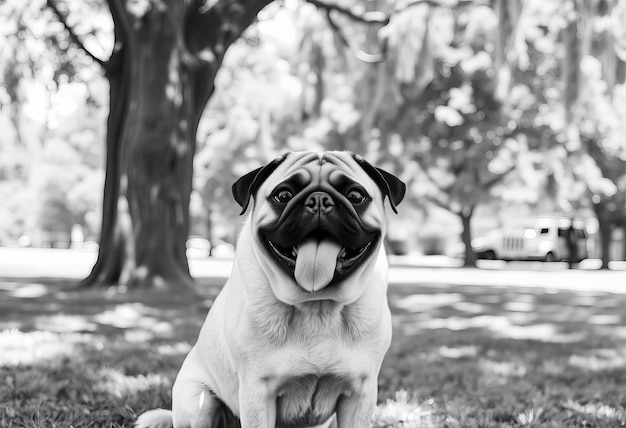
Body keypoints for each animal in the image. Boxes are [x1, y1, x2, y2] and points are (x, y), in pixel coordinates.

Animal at [135, 151, 404, 428]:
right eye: (283, 195)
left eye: (355, 196)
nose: (319, 200)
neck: (317, 306)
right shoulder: (257, 391)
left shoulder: (361, 392)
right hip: (196, 400)